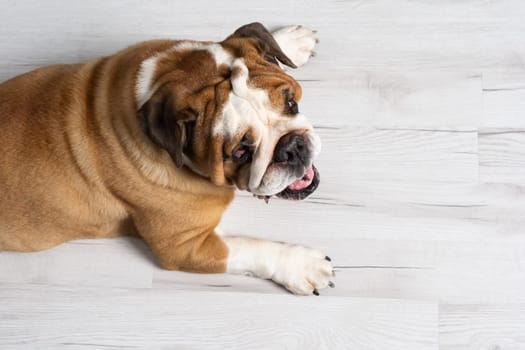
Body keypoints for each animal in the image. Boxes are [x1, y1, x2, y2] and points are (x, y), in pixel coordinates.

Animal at [0, 22, 334, 296]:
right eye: (241, 152)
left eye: (290, 102)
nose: (292, 147)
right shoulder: (185, 246)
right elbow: (252, 249)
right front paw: (302, 266)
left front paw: (288, 42)